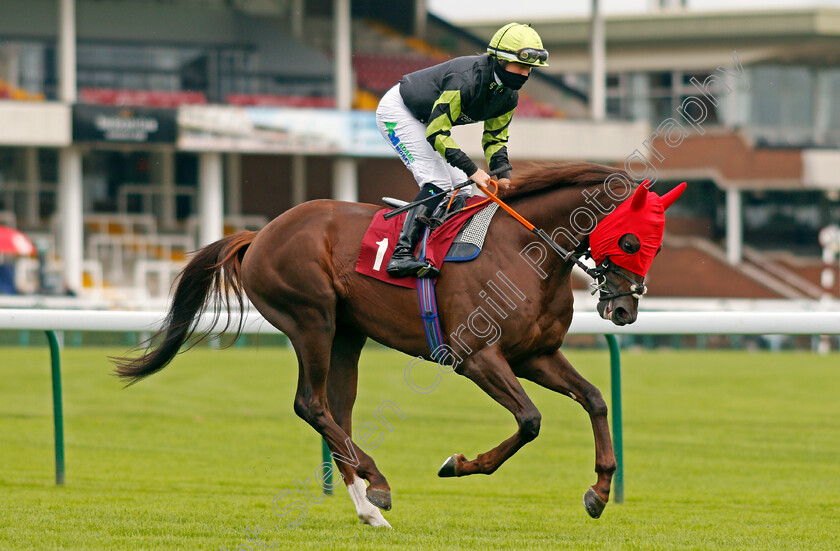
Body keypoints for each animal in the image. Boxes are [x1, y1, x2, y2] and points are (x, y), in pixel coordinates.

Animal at [115, 162, 684, 528]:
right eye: (631, 240)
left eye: (656, 246)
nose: (625, 310)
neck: (525, 250)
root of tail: (259, 235)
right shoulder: (476, 356)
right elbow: (530, 421)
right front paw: (459, 463)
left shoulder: (535, 355)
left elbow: (595, 399)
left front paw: (600, 492)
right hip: (311, 320)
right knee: (310, 404)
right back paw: (377, 480)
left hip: (348, 334)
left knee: (336, 410)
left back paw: (368, 505)